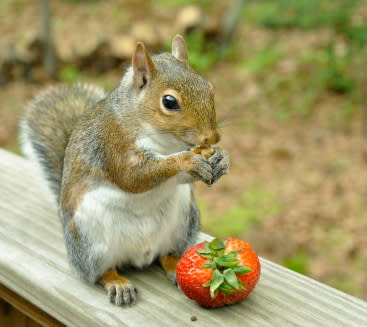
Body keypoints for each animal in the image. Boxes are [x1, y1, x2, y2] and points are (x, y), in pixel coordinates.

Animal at [20, 34, 229, 306]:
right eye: (169, 102)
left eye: (210, 87)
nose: (212, 137)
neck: (166, 142)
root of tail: (140, 255)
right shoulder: (112, 145)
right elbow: (133, 177)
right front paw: (187, 161)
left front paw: (221, 159)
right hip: (90, 241)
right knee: (98, 272)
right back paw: (116, 282)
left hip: (184, 223)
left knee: (166, 255)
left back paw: (175, 265)